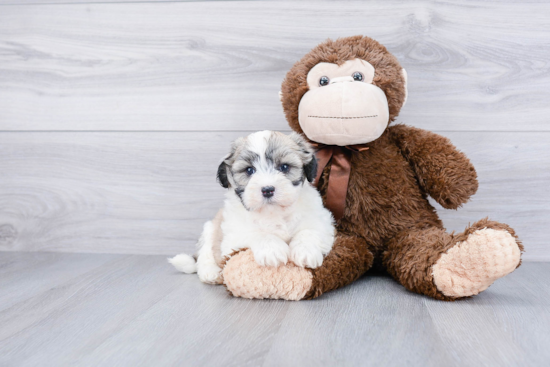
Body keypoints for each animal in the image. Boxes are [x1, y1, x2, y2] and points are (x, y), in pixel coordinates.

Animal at [169, 130, 336, 284]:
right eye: (249, 170)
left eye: (284, 167)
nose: (267, 190)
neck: (273, 213)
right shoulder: (233, 236)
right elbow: (256, 233)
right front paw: (272, 250)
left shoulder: (322, 221)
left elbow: (309, 231)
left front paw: (306, 251)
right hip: (210, 229)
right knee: (205, 253)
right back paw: (210, 272)